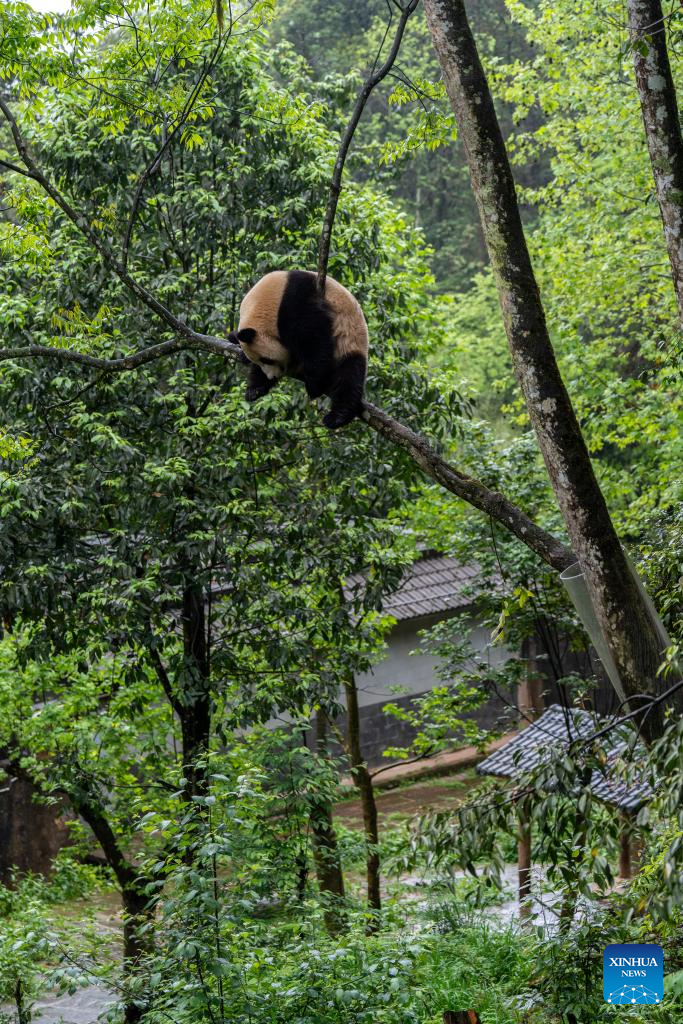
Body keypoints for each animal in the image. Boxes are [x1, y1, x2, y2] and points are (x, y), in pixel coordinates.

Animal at [229, 268, 368, 428]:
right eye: (260, 361)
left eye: (267, 360)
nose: (272, 376)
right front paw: (255, 388)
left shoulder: (297, 301)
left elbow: (314, 338)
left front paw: (315, 385)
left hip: (351, 339)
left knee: (349, 375)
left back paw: (337, 417)